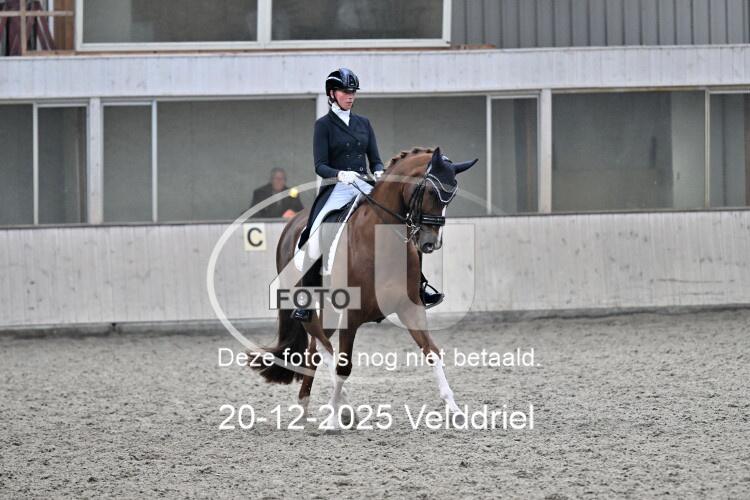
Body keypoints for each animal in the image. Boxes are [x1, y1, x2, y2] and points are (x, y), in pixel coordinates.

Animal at [248, 146, 478, 430]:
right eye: (431, 192)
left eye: (451, 196)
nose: (430, 243)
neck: (381, 241)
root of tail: (291, 225)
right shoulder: (351, 316)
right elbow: (343, 367)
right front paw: (333, 419)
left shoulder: (411, 309)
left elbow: (432, 353)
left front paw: (455, 410)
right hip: (311, 308)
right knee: (324, 349)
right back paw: (340, 408)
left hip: (327, 312)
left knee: (315, 349)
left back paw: (307, 406)